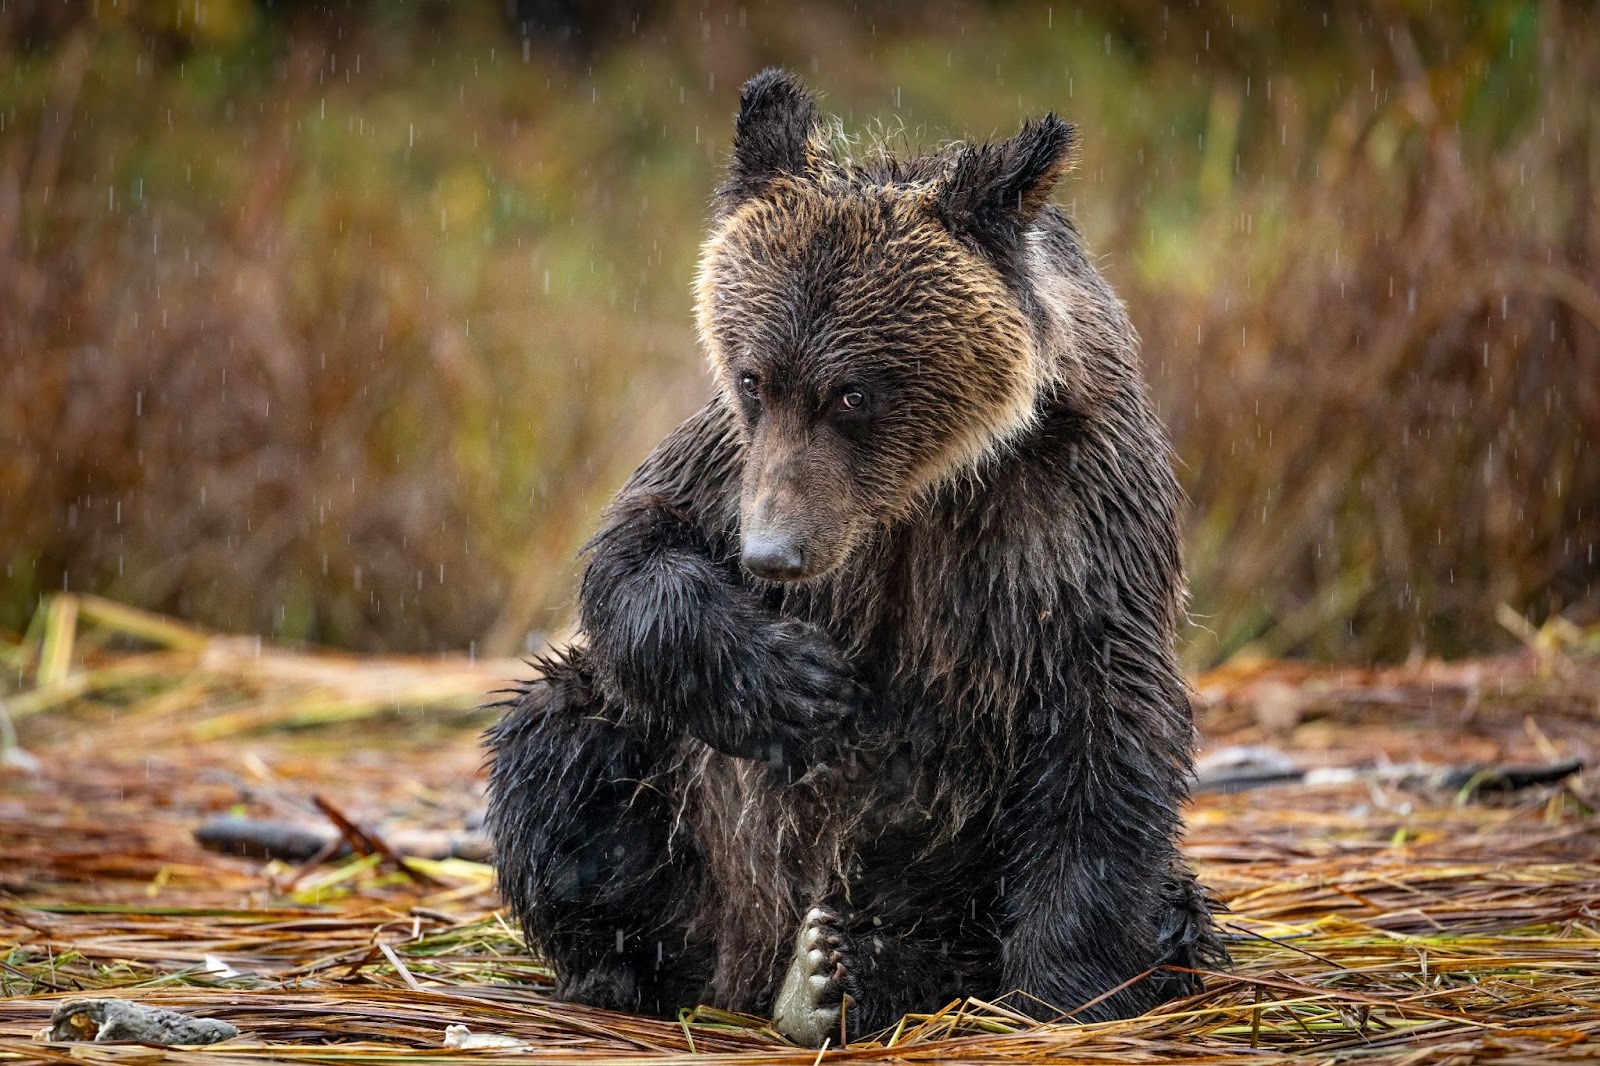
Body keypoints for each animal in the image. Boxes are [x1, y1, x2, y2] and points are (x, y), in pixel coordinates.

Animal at [484, 68, 1225, 1046]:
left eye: (854, 393)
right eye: (755, 377)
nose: (773, 554)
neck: (922, 495)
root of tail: (740, 969)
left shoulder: (1072, 514)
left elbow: (1103, 726)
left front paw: (1064, 988)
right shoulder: (727, 465)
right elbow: (634, 553)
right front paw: (795, 678)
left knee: (1159, 906)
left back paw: (842, 972)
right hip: (685, 842)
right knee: (559, 736)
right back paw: (631, 968)